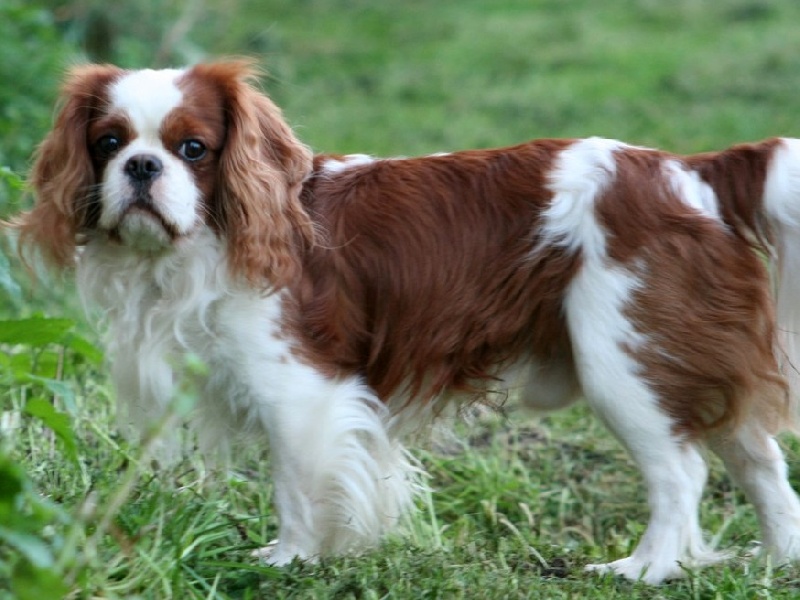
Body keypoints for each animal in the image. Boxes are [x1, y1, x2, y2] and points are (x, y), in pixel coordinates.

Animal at [10, 59, 800, 580]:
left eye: (193, 149)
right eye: (109, 144)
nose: (142, 168)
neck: (212, 236)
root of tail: (691, 172)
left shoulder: (301, 387)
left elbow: (296, 482)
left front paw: (290, 559)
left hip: (624, 359)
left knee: (682, 470)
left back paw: (643, 569)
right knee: (760, 459)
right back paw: (774, 560)